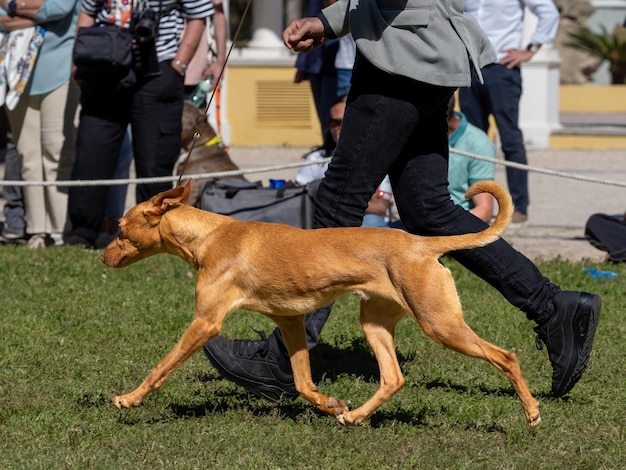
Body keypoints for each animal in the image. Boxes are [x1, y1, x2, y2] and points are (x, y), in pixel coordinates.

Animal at [100, 181, 540, 430]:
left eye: (120, 229)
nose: (102, 257)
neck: (210, 237)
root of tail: (419, 242)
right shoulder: (290, 321)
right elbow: (302, 383)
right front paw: (330, 405)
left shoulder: (206, 323)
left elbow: (160, 367)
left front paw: (128, 399)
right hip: (375, 323)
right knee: (393, 378)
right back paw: (355, 417)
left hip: (440, 323)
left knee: (506, 356)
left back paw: (532, 413)